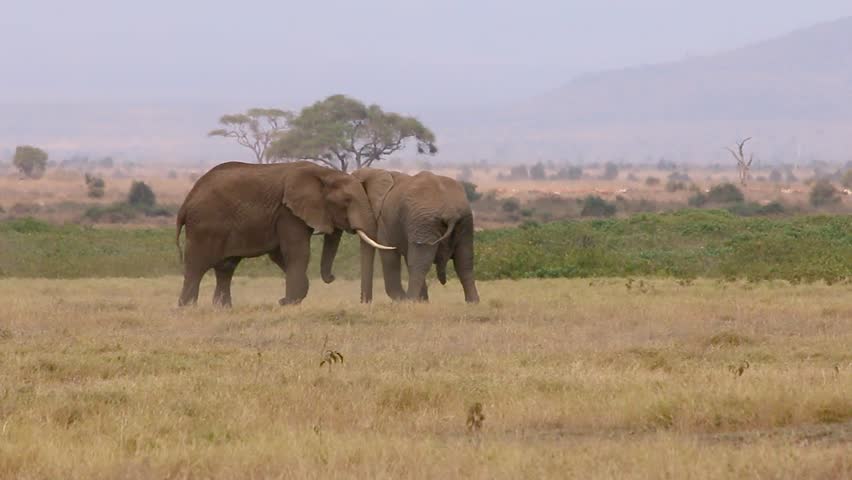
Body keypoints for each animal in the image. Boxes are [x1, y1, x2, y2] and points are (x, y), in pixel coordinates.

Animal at [175, 161, 393, 307]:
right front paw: (288, 302)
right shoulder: (287, 212)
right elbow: (297, 252)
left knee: (225, 268)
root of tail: (186, 202)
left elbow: (279, 254)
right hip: (204, 224)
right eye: (346, 201)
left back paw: (223, 308)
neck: (324, 173)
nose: (332, 277)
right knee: (196, 267)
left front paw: (286, 301)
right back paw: (188, 309)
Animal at [352, 168, 480, 303]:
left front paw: (409, 301)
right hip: (465, 220)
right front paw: (423, 302)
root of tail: (450, 211)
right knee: (464, 262)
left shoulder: (385, 222)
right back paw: (473, 303)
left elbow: (390, 255)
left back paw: (409, 301)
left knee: (419, 263)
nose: (366, 303)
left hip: (424, 222)